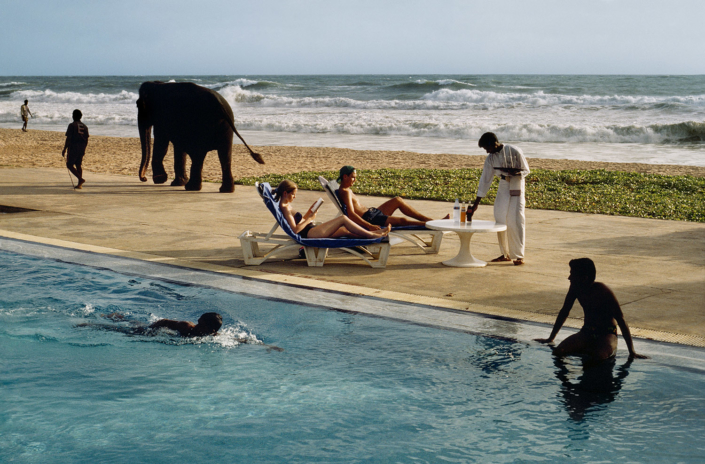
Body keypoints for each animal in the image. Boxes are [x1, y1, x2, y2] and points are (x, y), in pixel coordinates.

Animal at [135, 81, 264, 192]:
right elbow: (178, 148)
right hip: (226, 128)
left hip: (202, 127)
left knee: (198, 155)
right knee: (224, 155)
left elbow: (162, 144)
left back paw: (191, 187)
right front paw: (174, 182)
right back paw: (225, 190)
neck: (157, 84)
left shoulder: (162, 118)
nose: (144, 178)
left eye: (138, 105)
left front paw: (160, 180)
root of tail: (219, 104)